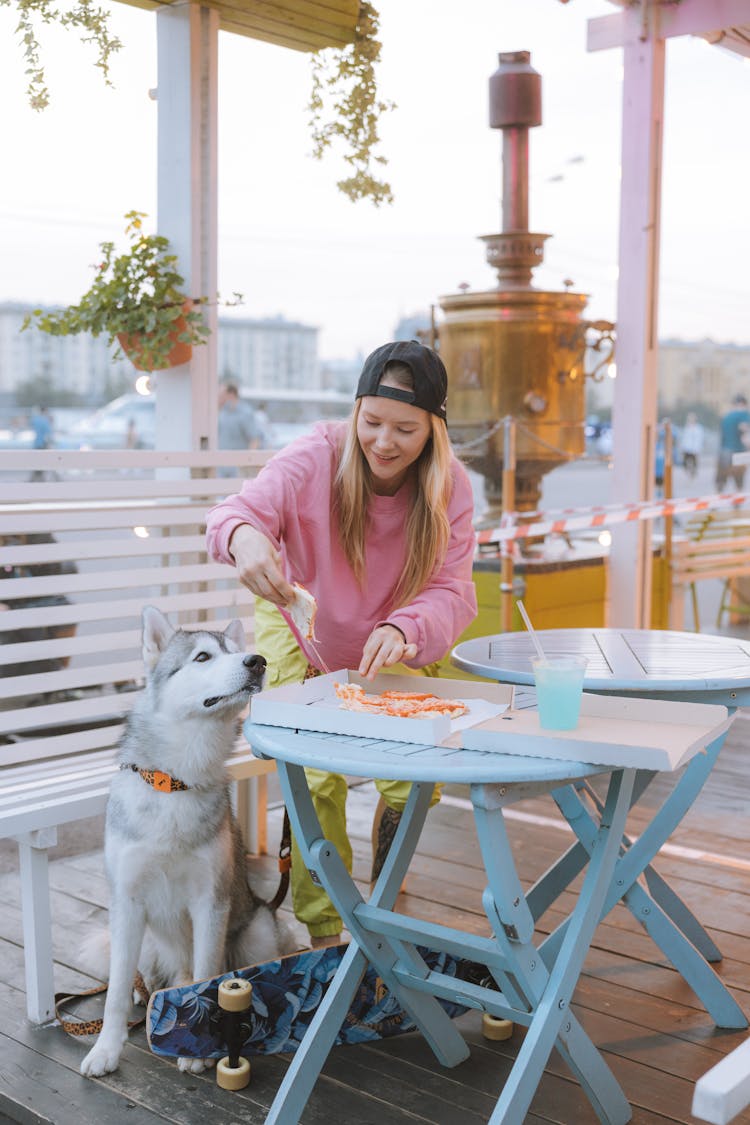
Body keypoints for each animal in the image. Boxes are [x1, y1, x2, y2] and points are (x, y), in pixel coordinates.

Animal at [81, 612, 292, 1075]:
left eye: (235, 651)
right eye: (202, 657)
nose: (257, 661)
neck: (174, 784)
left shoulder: (210, 905)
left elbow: (207, 976)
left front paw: (198, 1049)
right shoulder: (127, 902)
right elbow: (114, 993)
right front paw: (105, 1050)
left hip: (256, 930)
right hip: (143, 939)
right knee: (146, 975)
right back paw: (146, 991)